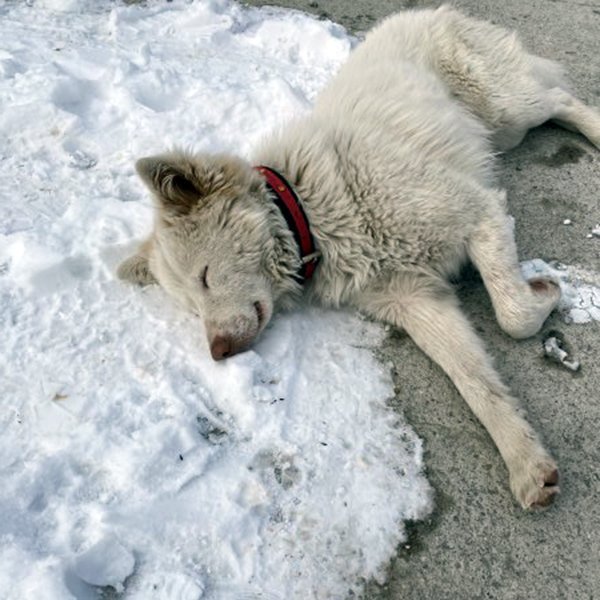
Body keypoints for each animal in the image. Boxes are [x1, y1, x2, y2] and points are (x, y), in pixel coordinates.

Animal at [118, 7, 600, 508]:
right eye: (193, 307)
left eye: (206, 277)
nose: (218, 352)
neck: (309, 213)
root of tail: (426, 11)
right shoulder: (416, 301)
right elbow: (475, 380)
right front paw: (526, 462)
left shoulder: (477, 210)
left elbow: (513, 315)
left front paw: (545, 293)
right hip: (502, 127)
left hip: (506, 108)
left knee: (560, 99)